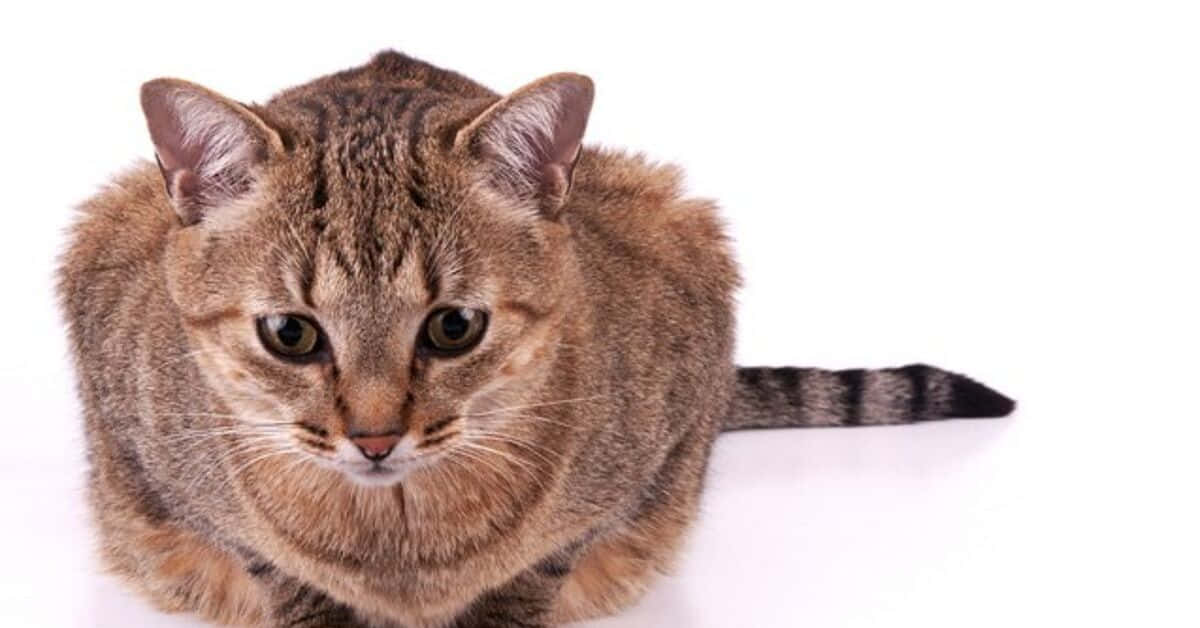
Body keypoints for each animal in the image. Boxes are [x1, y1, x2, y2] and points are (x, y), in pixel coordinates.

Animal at [56, 51, 1012, 624]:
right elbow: (279, 573)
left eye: (453, 327)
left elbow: (536, 571)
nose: (374, 438)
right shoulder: (157, 461)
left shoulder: (643, 453)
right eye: (291, 334)